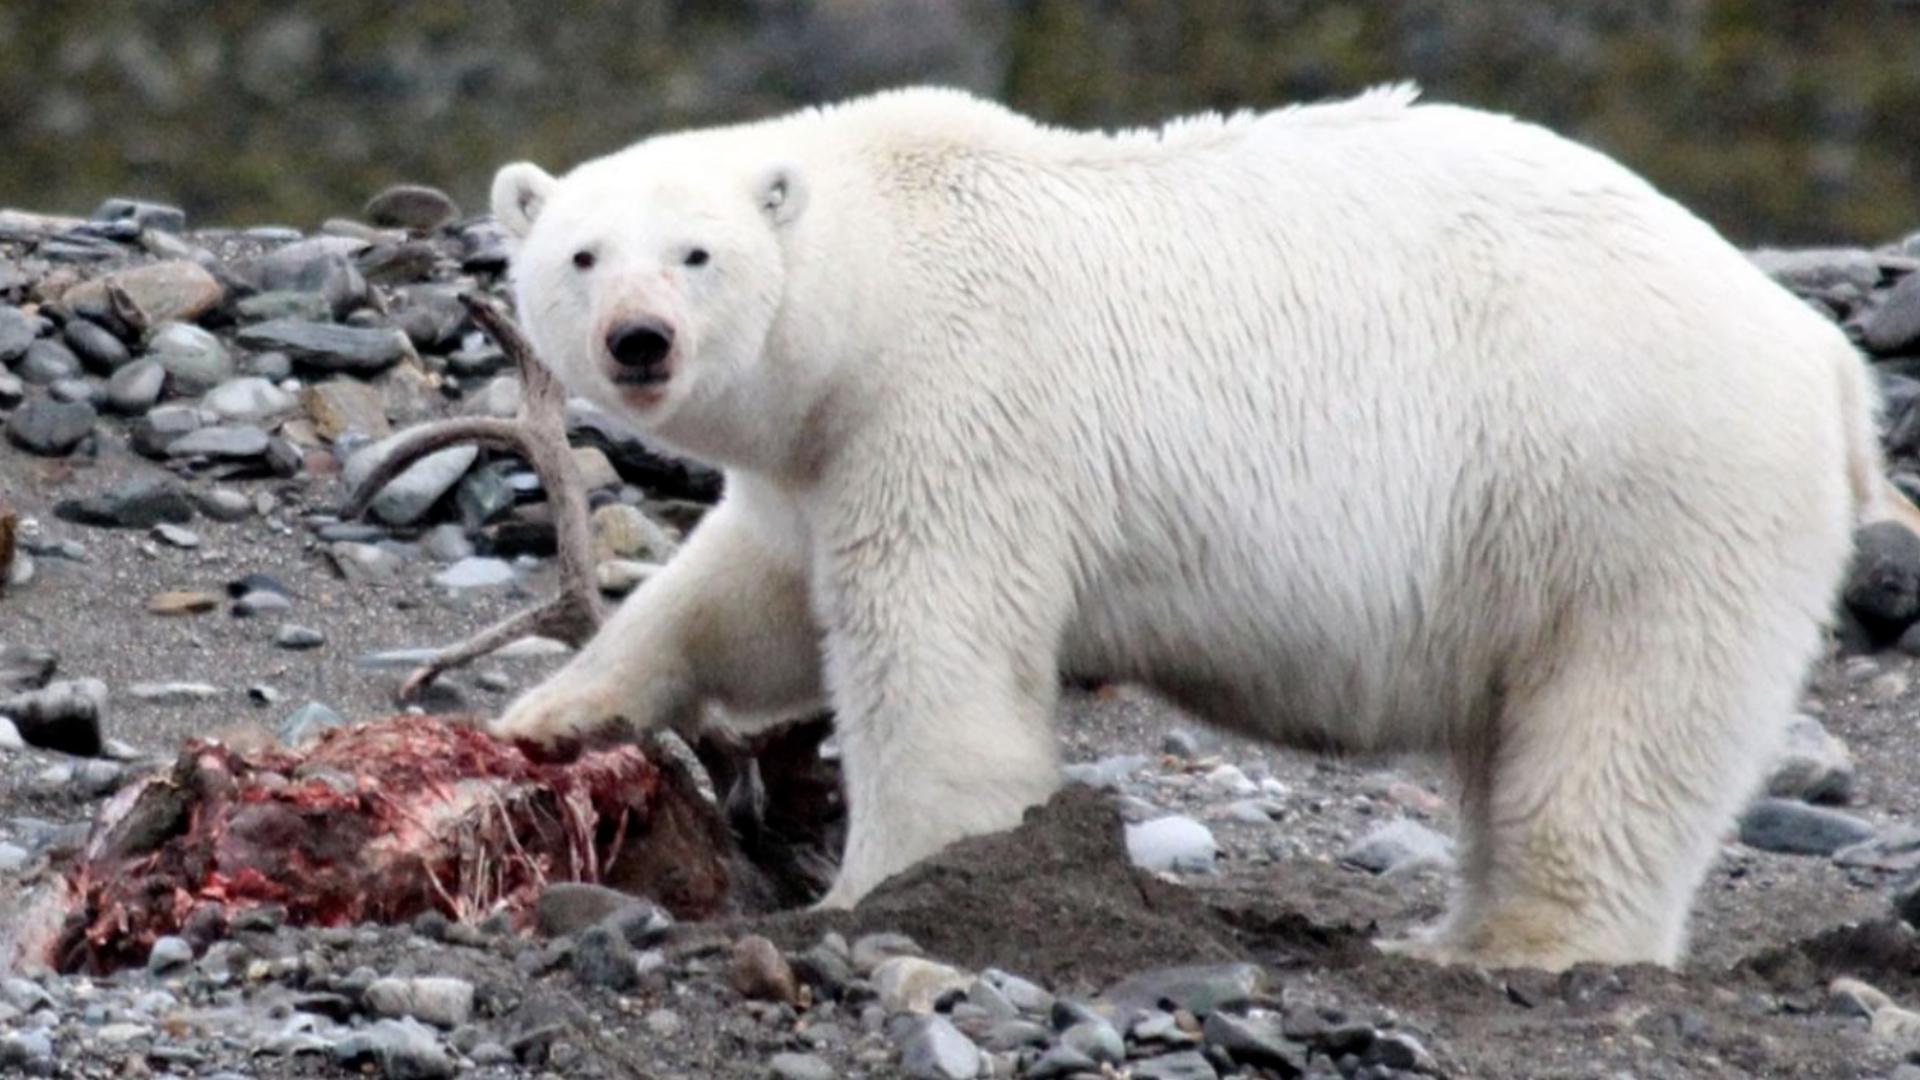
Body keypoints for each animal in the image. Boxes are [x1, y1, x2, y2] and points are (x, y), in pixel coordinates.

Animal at [487, 84, 1881, 968]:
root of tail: (1822, 356)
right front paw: (555, 713)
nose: (640, 340)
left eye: (699, 253)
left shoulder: (959, 405)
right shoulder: (826, 451)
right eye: (583, 255)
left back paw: (1514, 947)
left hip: (1634, 485)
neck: (882, 272)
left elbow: (932, 653)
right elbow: (750, 594)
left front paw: (894, 883)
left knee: (1623, 725)